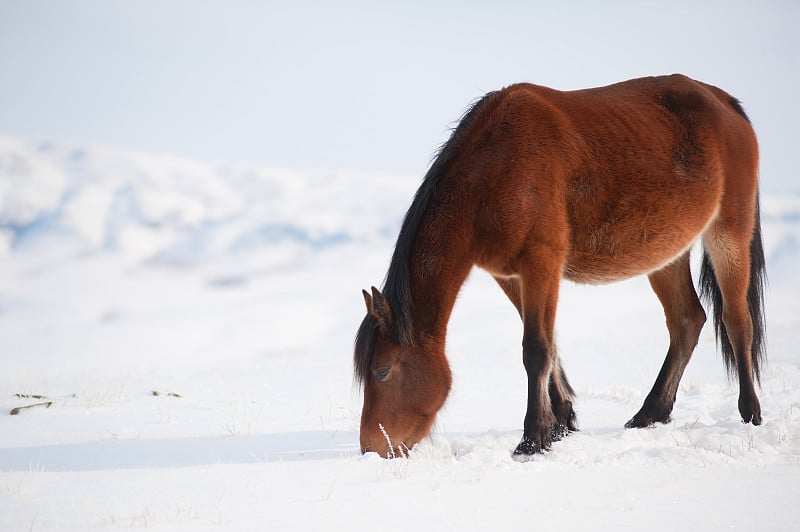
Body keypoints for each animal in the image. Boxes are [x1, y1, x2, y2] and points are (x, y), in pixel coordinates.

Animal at [354, 72, 764, 460]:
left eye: (382, 371)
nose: (373, 447)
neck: (495, 170)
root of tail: (725, 103)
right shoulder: (511, 274)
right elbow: (550, 343)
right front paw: (561, 422)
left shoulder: (541, 262)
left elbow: (536, 349)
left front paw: (533, 439)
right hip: (667, 252)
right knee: (687, 320)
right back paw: (651, 412)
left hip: (729, 231)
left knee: (736, 321)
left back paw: (750, 412)